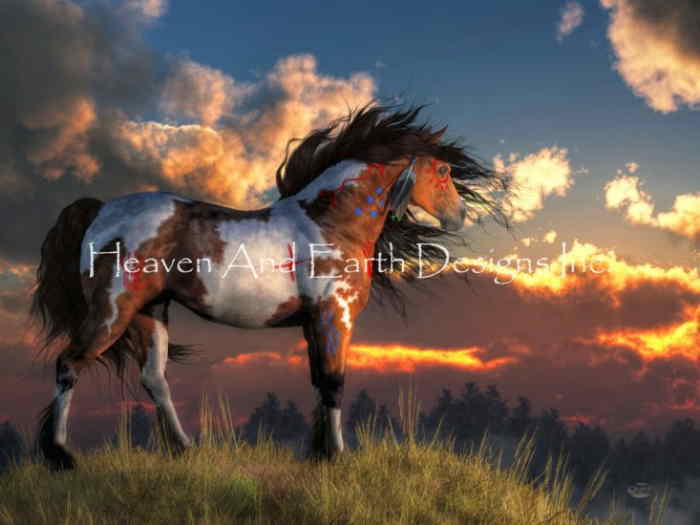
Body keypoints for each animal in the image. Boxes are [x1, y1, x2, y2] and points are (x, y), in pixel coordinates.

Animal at [31, 104, 504, 470]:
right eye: (442, 170)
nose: (459, 216)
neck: (330, 222)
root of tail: (101, 211)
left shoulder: (314, 323)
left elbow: (318, 382)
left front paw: (318, 453)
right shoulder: (335, 316)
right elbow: (334, 381)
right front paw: (337, 456)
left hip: (152, 312)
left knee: (154, 378)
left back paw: (184, 449)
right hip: (114, 311)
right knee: (69, 364)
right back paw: (61, 455)